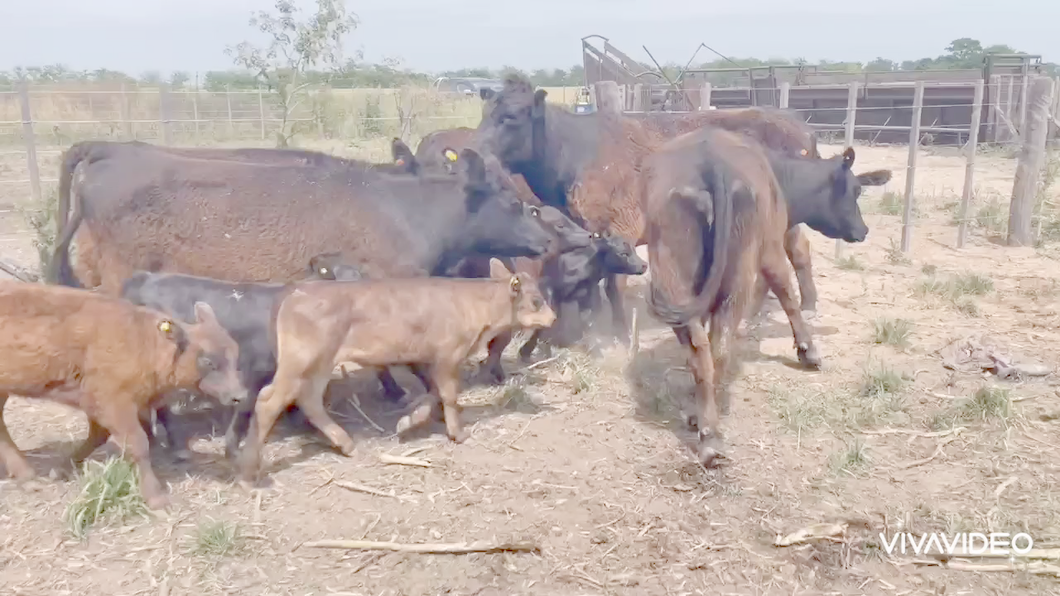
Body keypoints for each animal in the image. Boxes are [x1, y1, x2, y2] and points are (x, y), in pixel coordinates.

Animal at [0, 279, 245, 509]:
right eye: (208, 360)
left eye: (235, 353)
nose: (239, 395)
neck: (143, 343)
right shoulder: (113, 402)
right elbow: (138, 444)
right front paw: (156, 498)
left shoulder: (103, 404)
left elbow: (98, 436)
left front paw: (60, 470)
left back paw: (27, 477)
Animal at [238, 271, 555, 485]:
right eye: (537, 300)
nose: (553, 318)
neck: (474, 307)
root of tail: (295, 291)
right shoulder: (448, 355)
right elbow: (449, 394)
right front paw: (458, 433)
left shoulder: (432, 359)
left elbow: (434, 393)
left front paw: (409, 421)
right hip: (299, 360)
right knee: (269, 400)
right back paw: (249, 472)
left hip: (321, 363)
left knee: (310, 399)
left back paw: (346, 444)